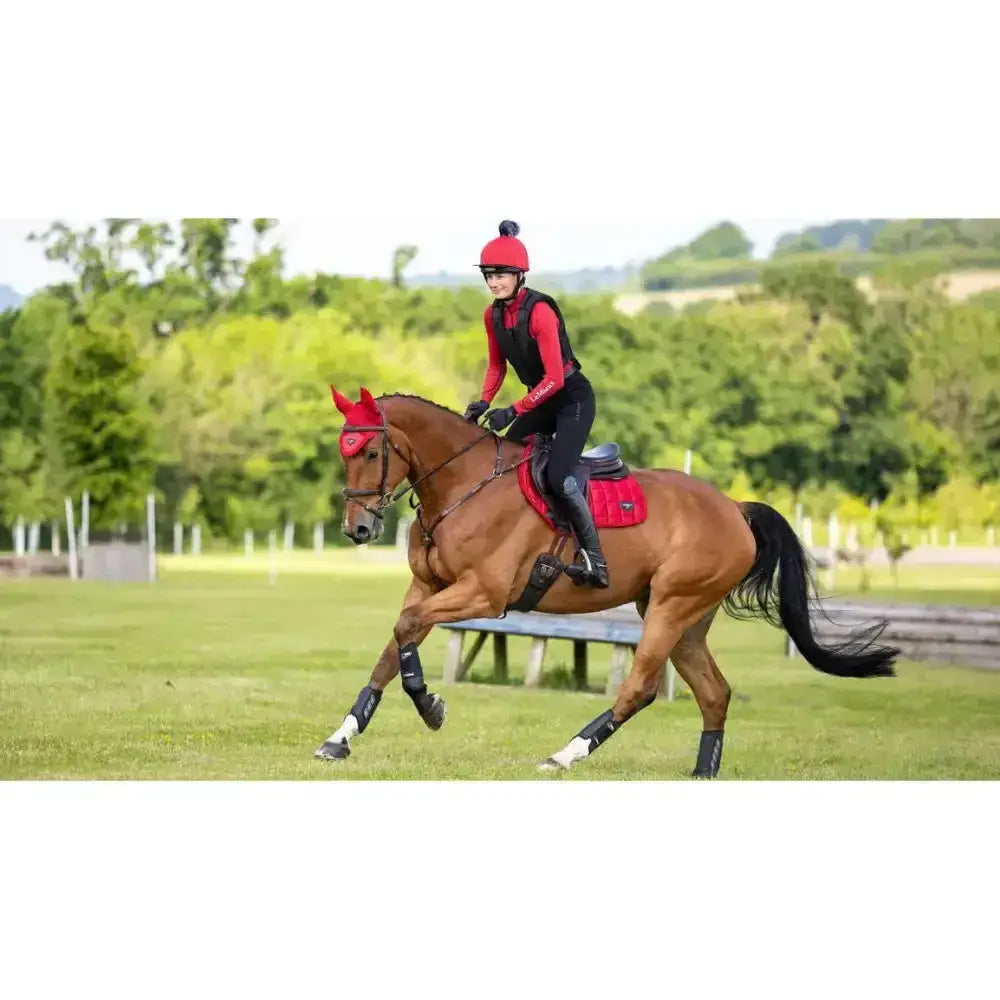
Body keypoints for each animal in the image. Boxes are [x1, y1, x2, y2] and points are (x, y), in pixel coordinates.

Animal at [315, 386, 897, 777]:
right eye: (344, 452)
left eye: (371, 452)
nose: (357, 529)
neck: (463, 486)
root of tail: (734, 507)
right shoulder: (429, 587)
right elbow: (394, 646)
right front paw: (341, 737)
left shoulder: (482, 593)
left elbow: (407, 633)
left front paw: (430, 705)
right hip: (684, 619)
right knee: (715, 693)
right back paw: (702, 771)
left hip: (670, 607)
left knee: (640, 687)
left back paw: (565, 754)